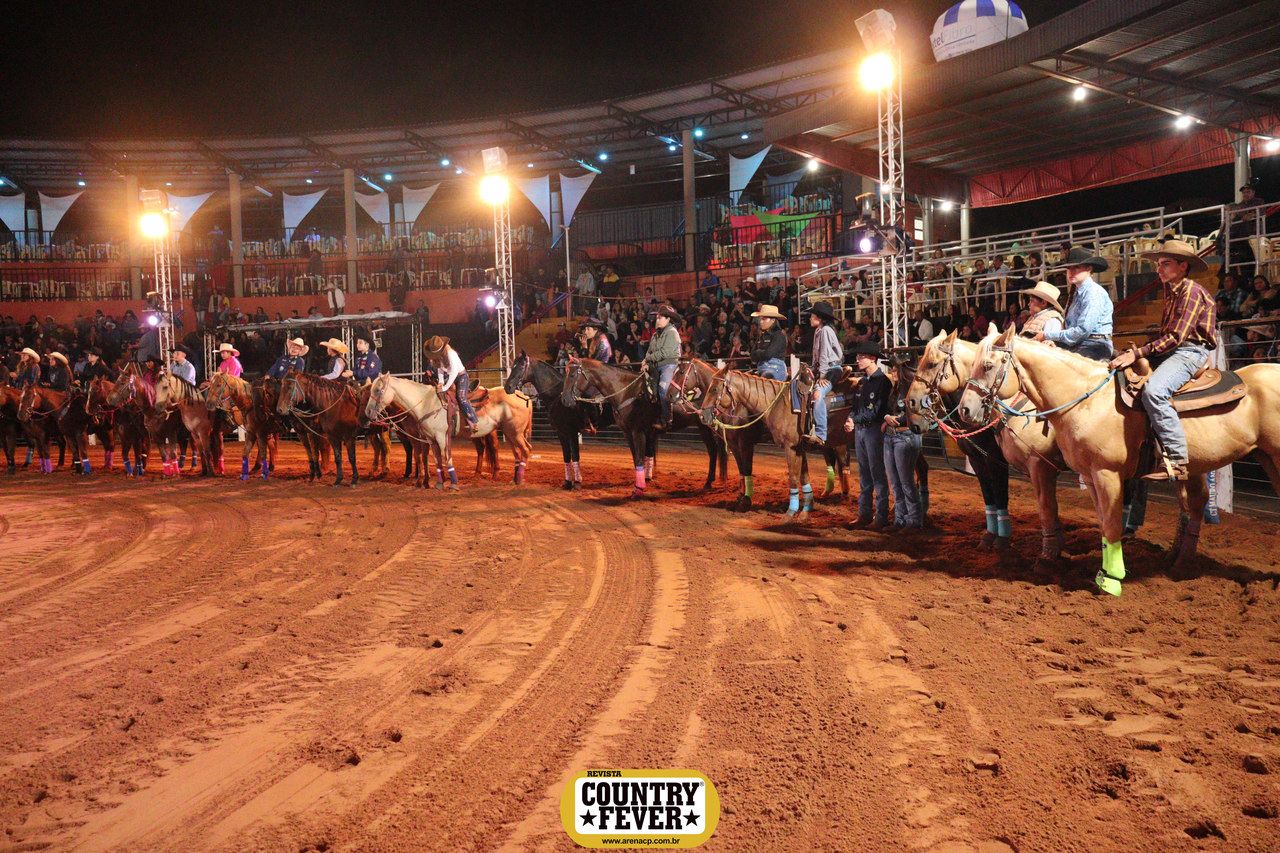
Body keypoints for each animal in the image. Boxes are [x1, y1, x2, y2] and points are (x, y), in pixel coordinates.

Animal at [559, 357, 728, 497]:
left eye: (572, 375)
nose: (564, 399)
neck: (627, 392)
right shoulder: (628, 433)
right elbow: (636, 458)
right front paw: (640, 483)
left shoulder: (638, 431)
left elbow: (640, 457)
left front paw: (639, 489)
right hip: (703, 427)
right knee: (714, 451)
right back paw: (708, 482)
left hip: (706, 427)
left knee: (714, 450)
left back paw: (709, 482)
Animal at [958, 325, 1280, 595]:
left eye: (988, 366)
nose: (964, 410)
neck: (1086, 400)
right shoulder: (1090, 477)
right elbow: (1104, 523)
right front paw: (1105, 570)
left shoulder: (1104, 473)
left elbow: (1107, 523)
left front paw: (1111, 580)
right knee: (1195, 502)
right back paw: (1178, 562)